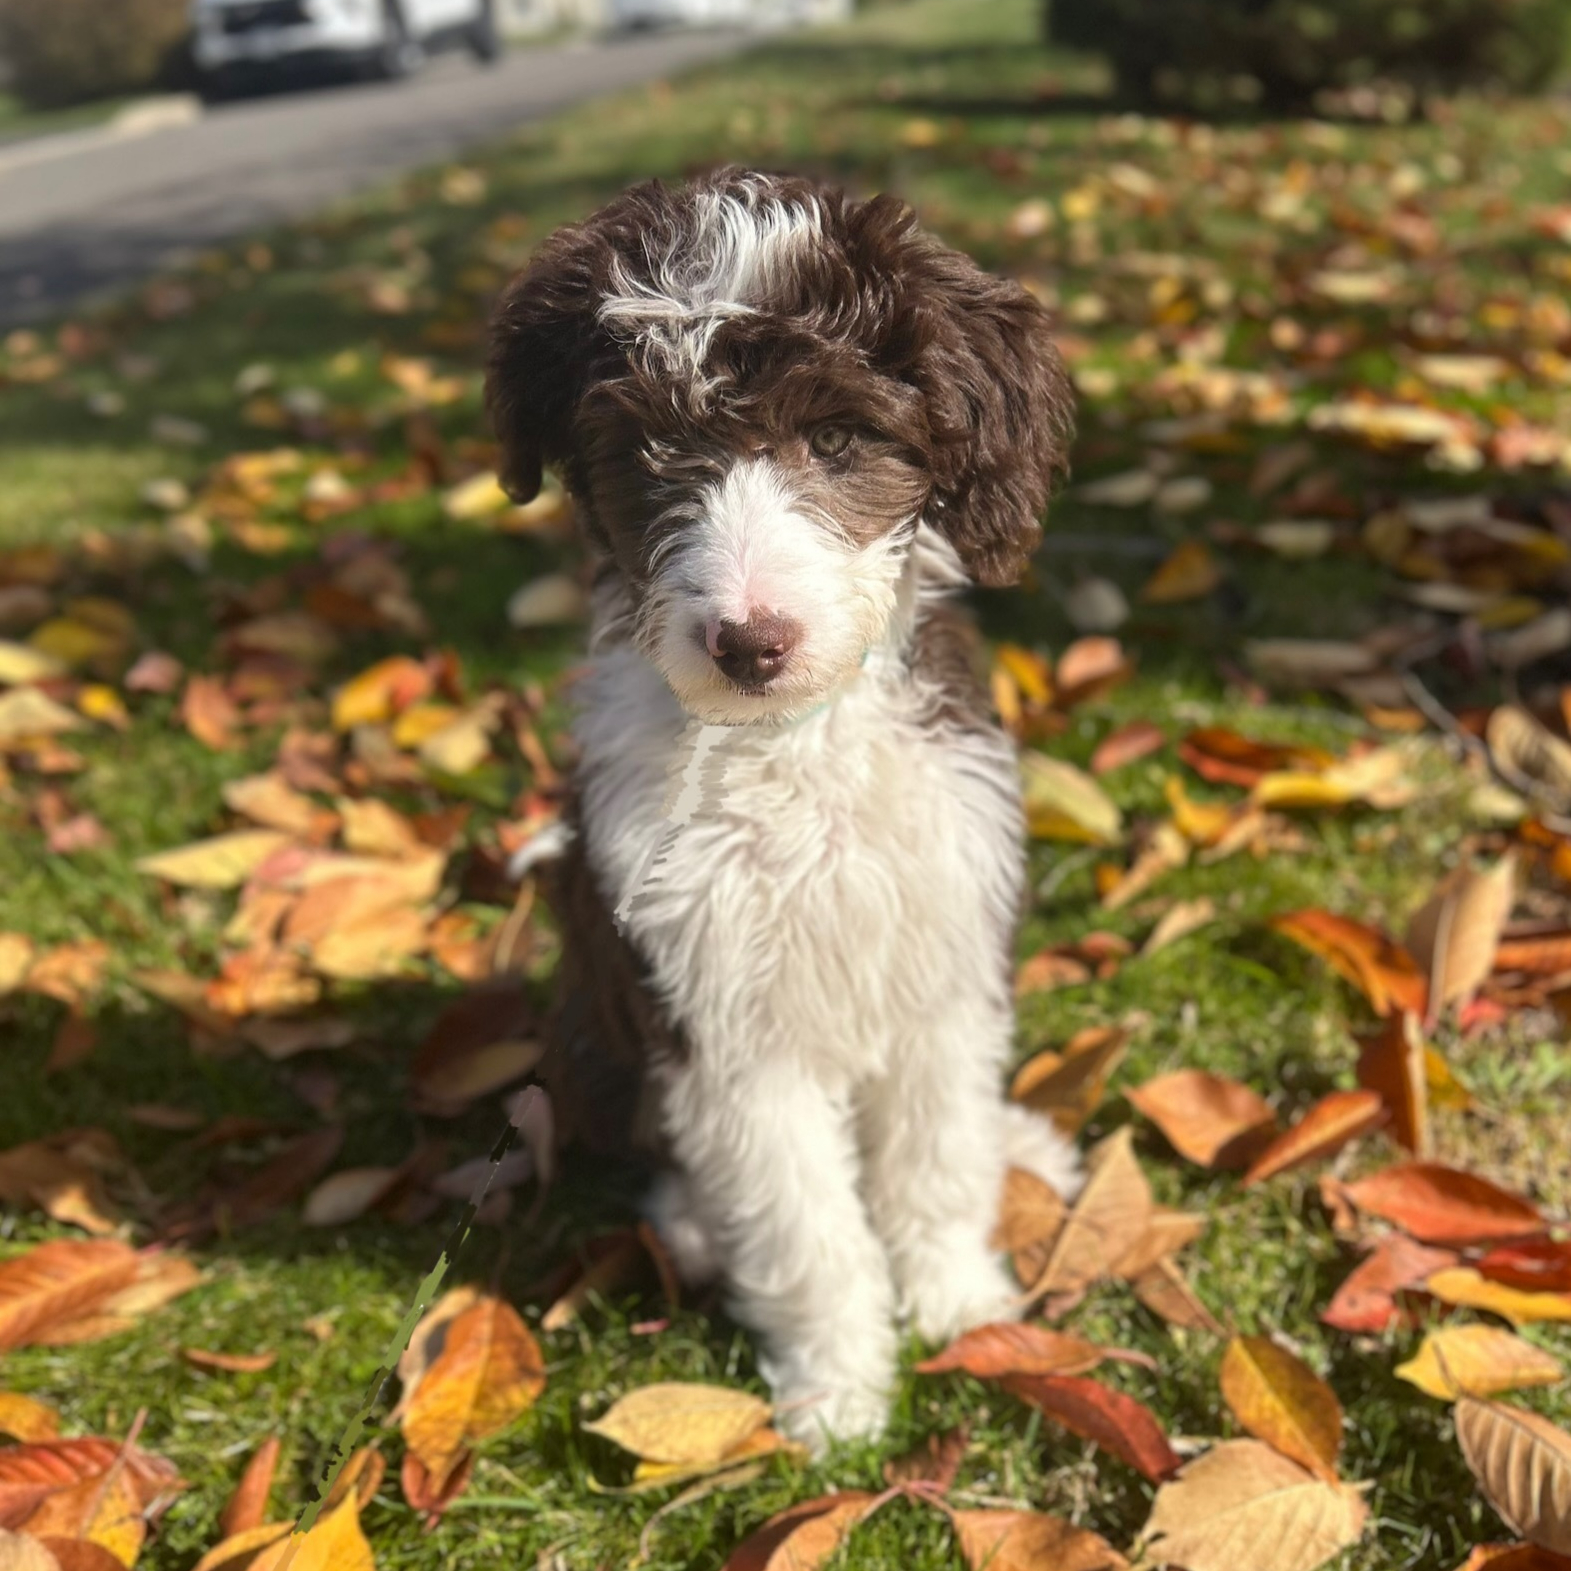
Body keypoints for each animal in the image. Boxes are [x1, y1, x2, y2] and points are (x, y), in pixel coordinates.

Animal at [488, 169, 1080, 1448]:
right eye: (647, 451)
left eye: (837, 436)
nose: (748, 642)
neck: (791, 752)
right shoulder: (719, 1022)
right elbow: (802, 1222)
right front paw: (837, 1392)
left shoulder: (943, 955)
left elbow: (935, 1153)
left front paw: (960, 1303)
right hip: (593, 1046)